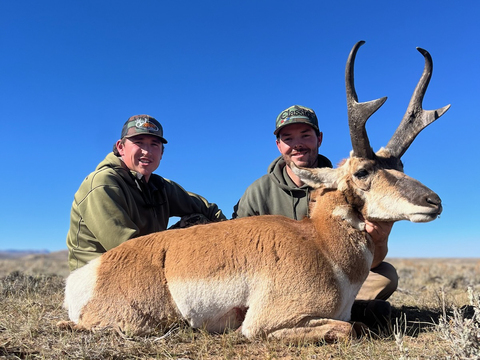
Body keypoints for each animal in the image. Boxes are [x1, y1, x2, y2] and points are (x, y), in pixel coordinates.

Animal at [62, 42, 448, 344]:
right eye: (363, 171)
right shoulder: (269, 321)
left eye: (400, 165)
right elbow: (349, 328)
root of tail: (85, 274)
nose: (434, 201)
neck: (321, 244)